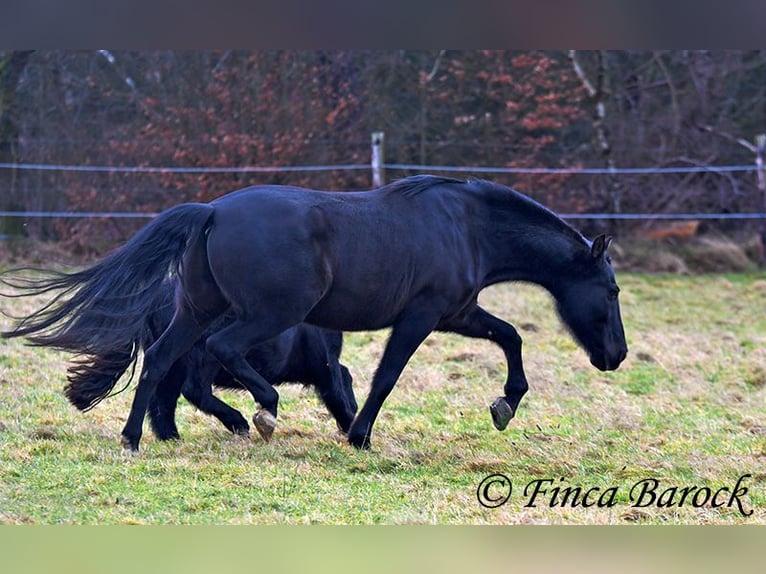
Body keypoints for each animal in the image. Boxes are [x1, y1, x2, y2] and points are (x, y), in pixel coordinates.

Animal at [61, 280, 358, 440]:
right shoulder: (325, 364)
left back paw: (171, 436)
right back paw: (237, 422)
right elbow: (337, 392)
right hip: (201, 355)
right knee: (194, 391)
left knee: (163, 397)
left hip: (177, 362)